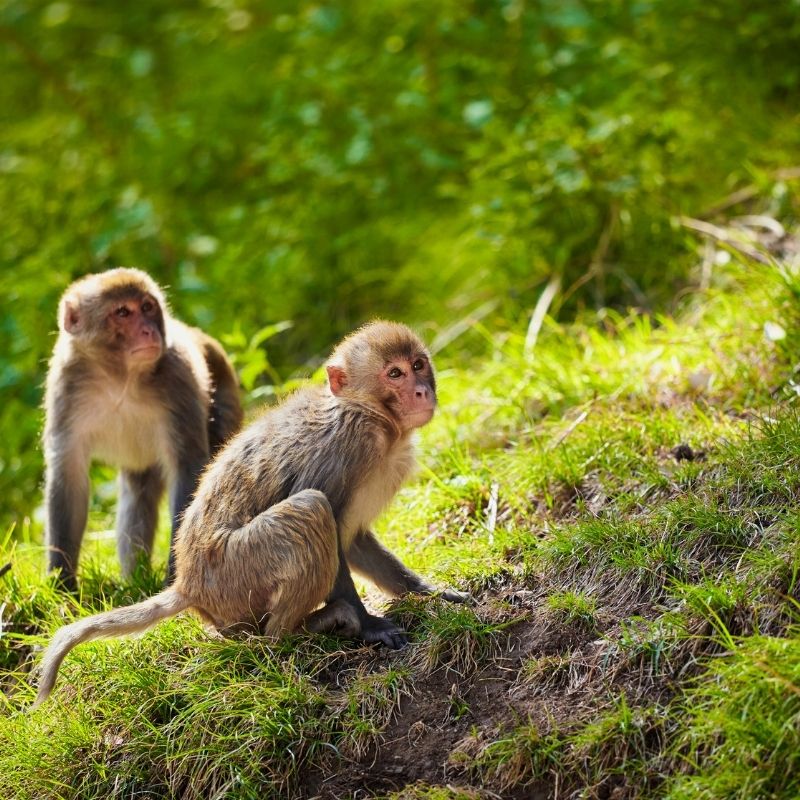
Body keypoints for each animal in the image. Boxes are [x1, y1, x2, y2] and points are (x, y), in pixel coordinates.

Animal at [34, 318, 466, 708]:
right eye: (394, 373)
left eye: (418, 364)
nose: (421, 390)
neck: (375, 417)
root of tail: (188, 584)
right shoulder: (349, 446)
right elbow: (330, 520)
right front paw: (368, 626)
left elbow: (353, 540)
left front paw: (424, 591)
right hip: (234, 571)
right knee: (311, 510)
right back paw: (300, 631)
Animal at [42, 266, 242, 592]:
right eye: (123, 312)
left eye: (148, 307)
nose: (149, 331)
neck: (120, 377)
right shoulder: (67, 385)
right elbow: (68, 474)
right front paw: (62, 582)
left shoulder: (178, 376)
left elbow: (188, 467)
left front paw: (176, 575)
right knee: (139, 493)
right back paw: (134, 578)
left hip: (225, 402)